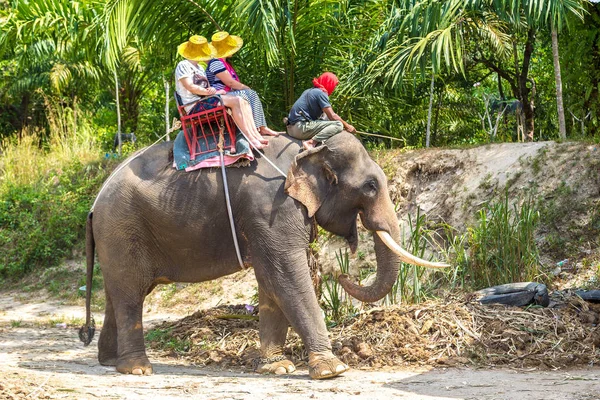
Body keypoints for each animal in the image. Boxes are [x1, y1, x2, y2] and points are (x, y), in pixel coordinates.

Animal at [79, 133, 446, 380]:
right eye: (370, 187)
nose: (342, 274)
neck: (309, 149)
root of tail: (94, 204)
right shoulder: (272, 207)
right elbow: (285, 274)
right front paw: (333, 369)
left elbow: (271, 280)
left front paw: (278, 368)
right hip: (122, 228)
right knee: (131, 293)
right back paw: (138, 369)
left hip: (118, 236)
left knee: (118, 293)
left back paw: (110, 362)